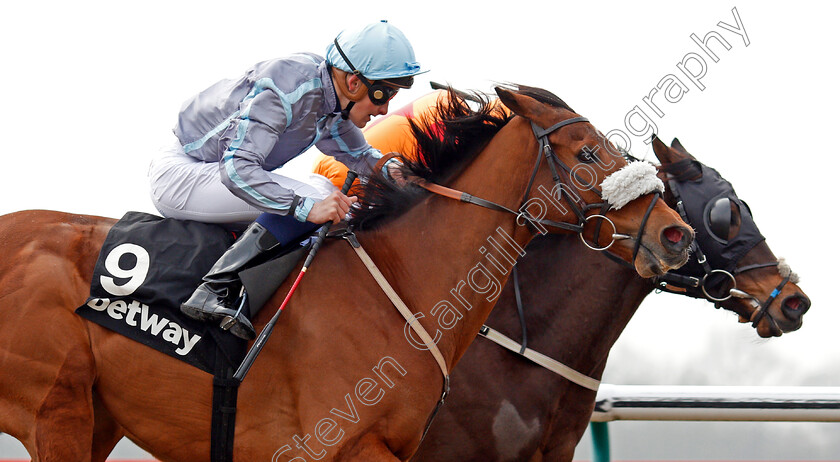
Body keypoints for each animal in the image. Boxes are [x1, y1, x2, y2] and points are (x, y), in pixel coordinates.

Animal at [0, 87, 692, 462]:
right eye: (588, 153)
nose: (675, 234)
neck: (403, 286)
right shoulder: (330, 443)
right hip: (56, 407)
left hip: (95, 418)